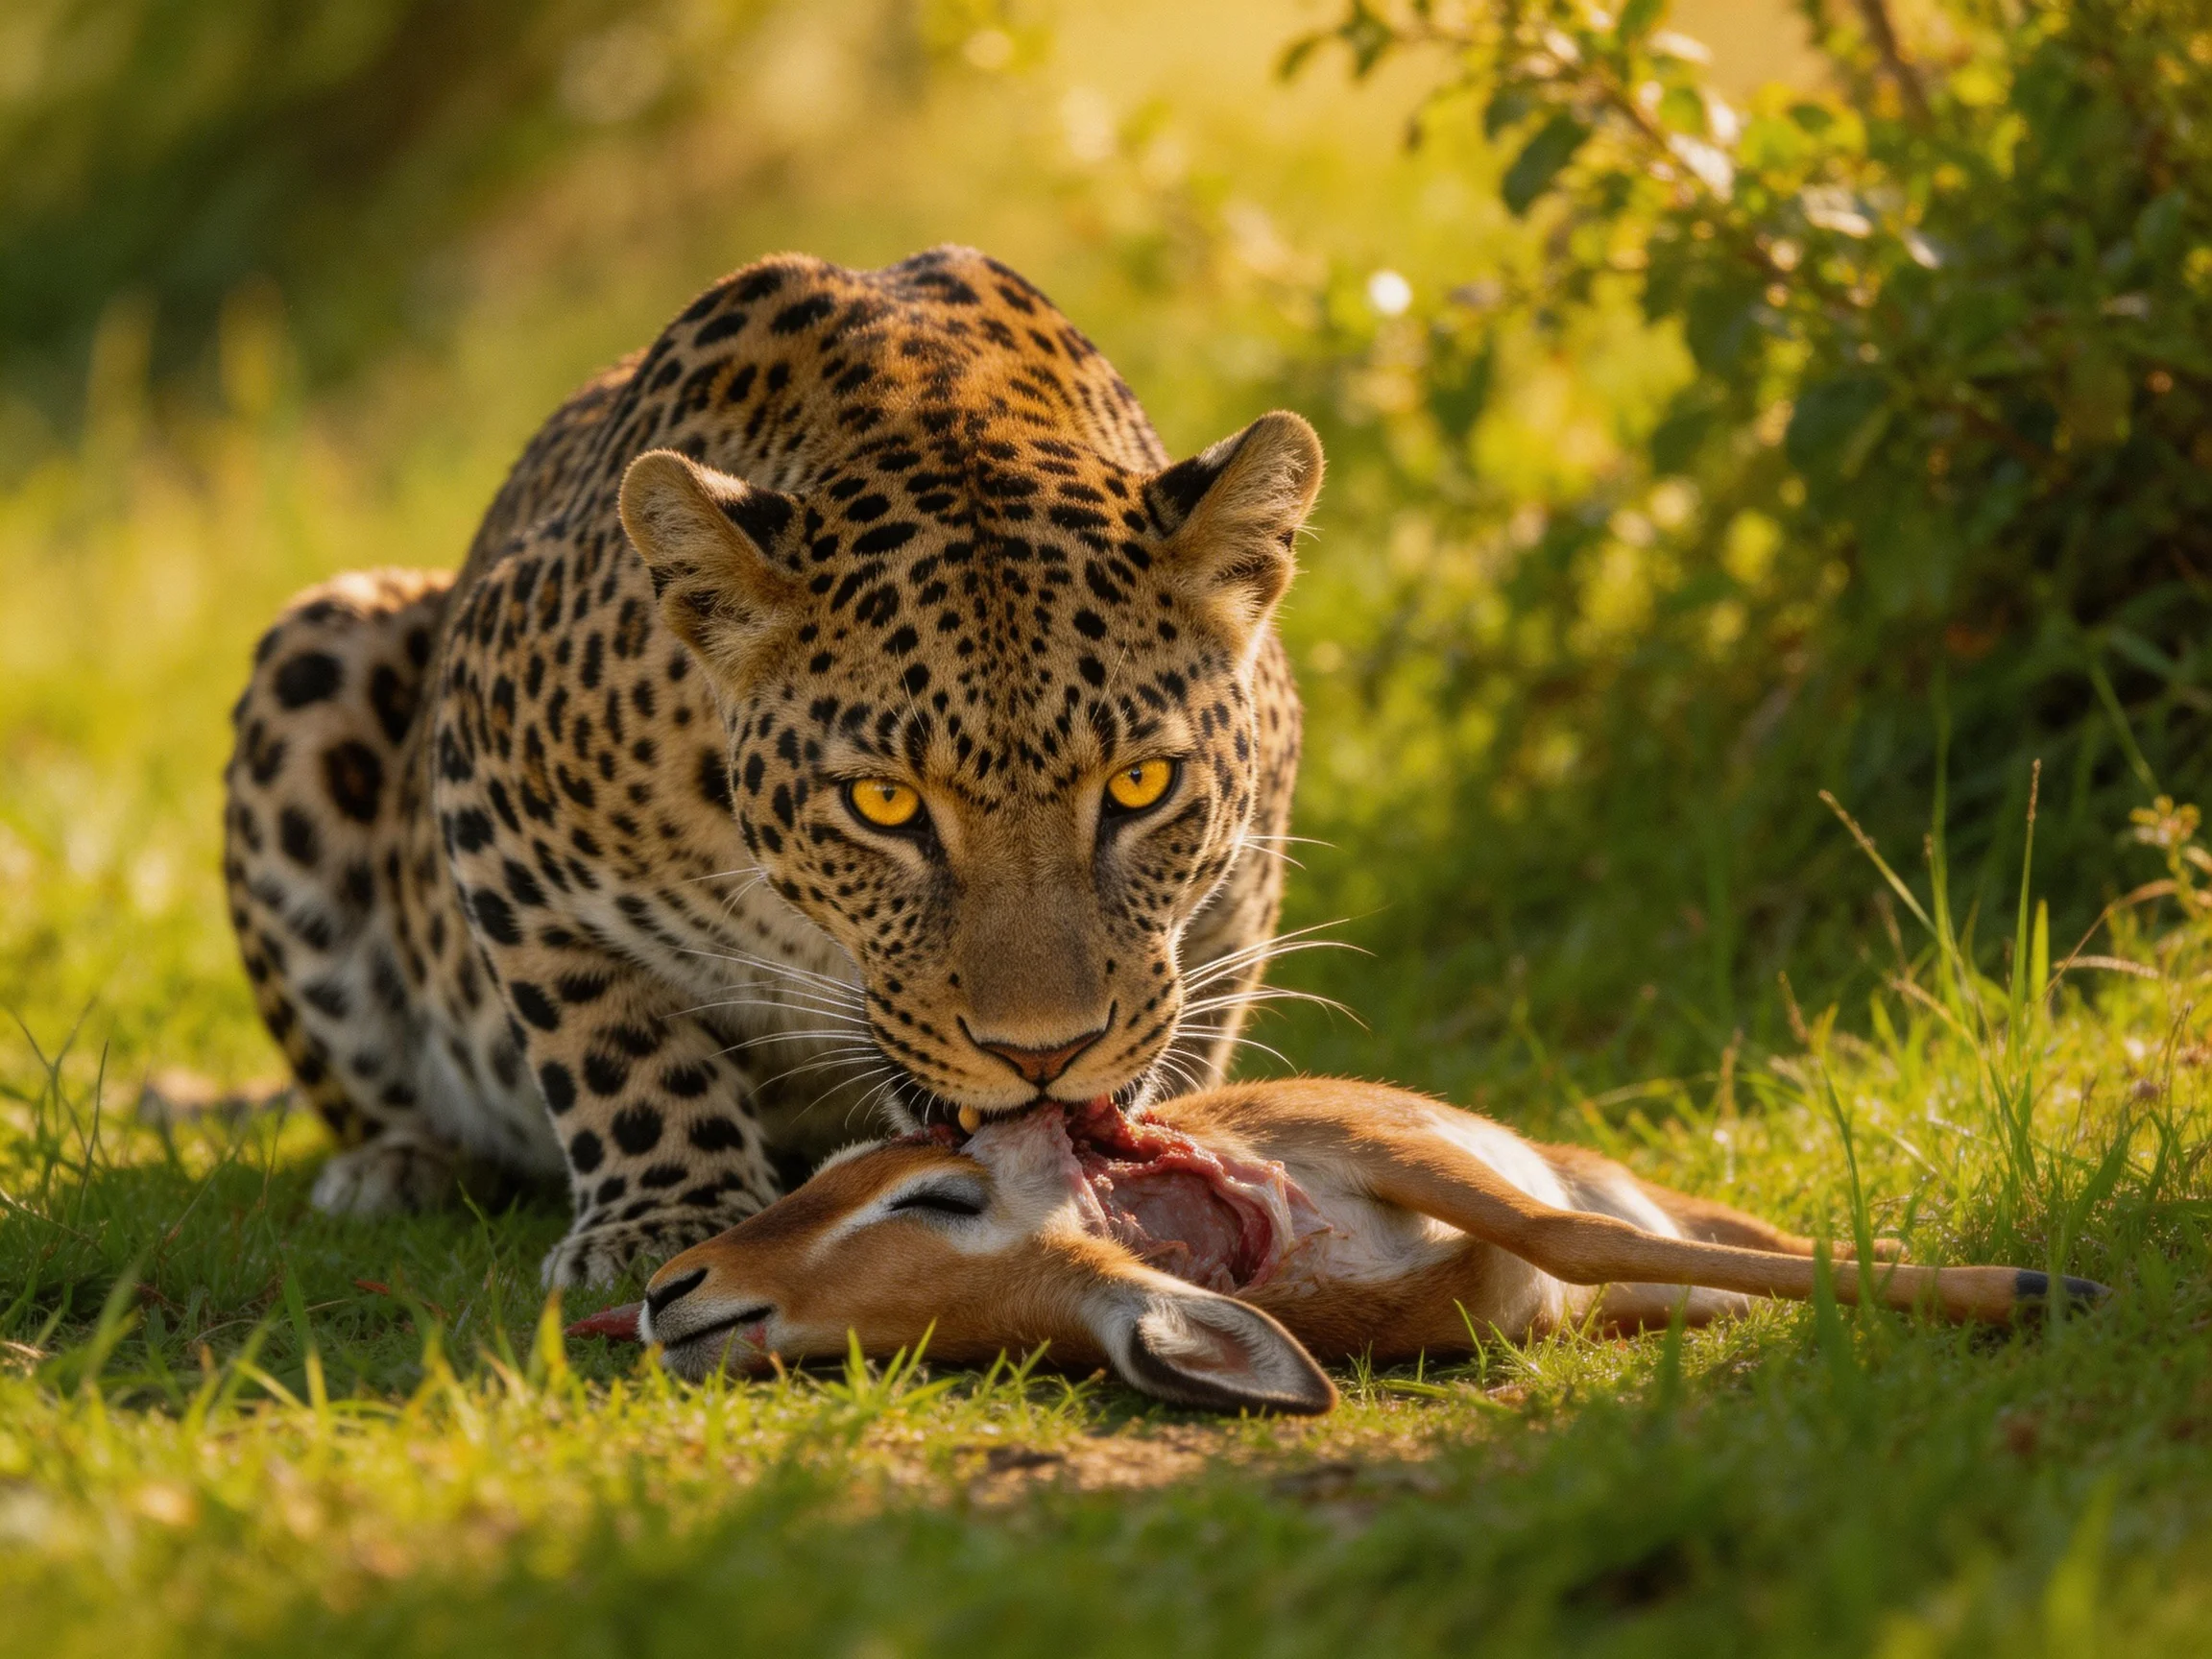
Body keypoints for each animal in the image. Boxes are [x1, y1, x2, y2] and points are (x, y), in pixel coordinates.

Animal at [221, 245, 1323, 1288]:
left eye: (1140, 786)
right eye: (883, 804)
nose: (1042, 1055)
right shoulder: (488, 775)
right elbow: (607, 1032)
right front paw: (666, 1215)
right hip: (319, 647)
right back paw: (399, 1168)